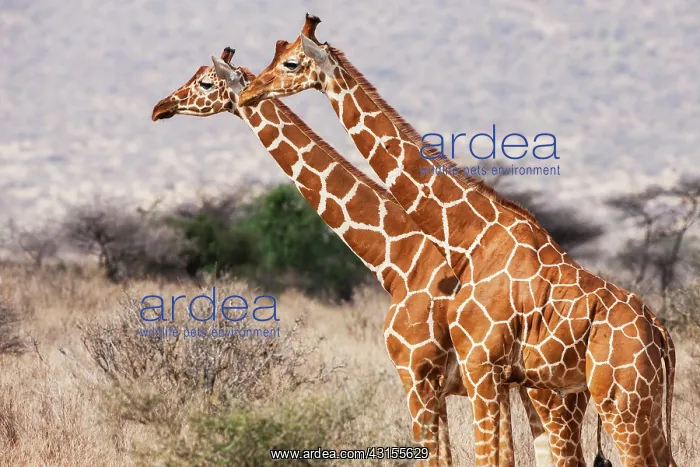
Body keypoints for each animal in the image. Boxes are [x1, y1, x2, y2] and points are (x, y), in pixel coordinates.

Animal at [237, 15, 676, 467]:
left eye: (290, 62)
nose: (249, 90)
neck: (467, 239)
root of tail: (662, 335)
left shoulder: (465, 369)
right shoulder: (484, 375)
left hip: (614, 401)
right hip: (632, 404)